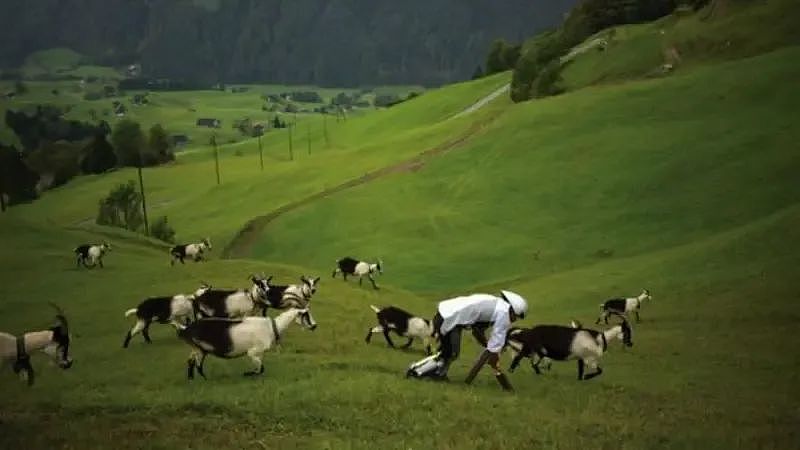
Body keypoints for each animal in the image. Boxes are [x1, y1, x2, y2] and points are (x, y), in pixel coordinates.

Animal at [180, 306, 318, 380]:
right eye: (306, 315)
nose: (315, 326)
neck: (272, 327)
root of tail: (186, 330)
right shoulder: (252, 352)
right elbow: (260, 369)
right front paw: (247, 374)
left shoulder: (259, 353)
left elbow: (260, 368)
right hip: (200, 348)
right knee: (197, 364)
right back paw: (204, 379)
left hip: (197, 348)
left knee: (191, 361)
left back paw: (191, 378)